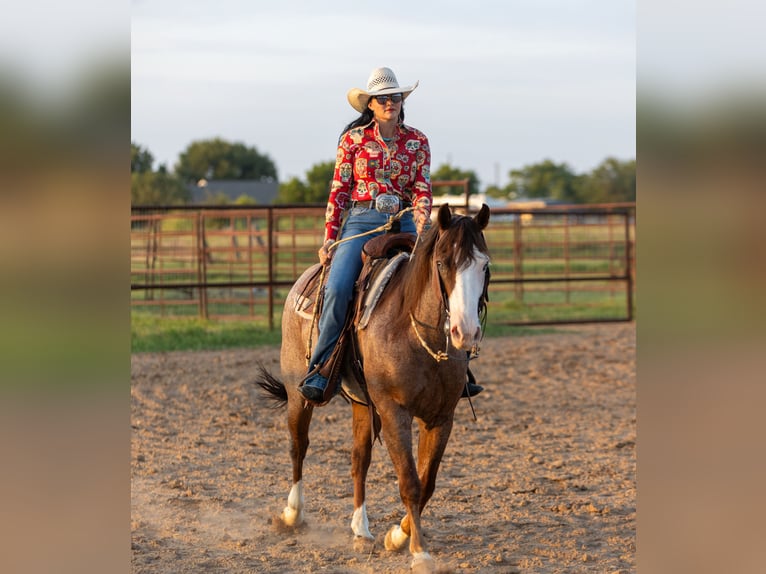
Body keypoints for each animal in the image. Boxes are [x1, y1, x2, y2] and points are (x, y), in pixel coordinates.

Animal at [255, 205, 488, 572]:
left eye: (485, 265)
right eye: (442, 263)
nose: (465, 332)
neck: (413, 330)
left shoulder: (441, 418)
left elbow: (427, 482)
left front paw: (397, 536)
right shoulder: (394, 412)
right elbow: (409, 482)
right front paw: (419, 552)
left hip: (362, 404)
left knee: (358, 459)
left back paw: (361, 530)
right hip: (297, 393)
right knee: (298, 446)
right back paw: (292, 515)